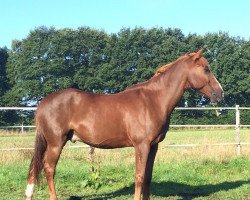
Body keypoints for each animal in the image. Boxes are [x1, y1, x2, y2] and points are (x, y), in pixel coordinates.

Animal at [25, 48, 225, 200]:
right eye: (206, 69)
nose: (220, 93)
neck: (153, 100)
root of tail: (43, 103)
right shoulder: (141, 145)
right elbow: (139, 176)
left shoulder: (153, 147)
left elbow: (148, 178)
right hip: (55, 143)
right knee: (49, 169)